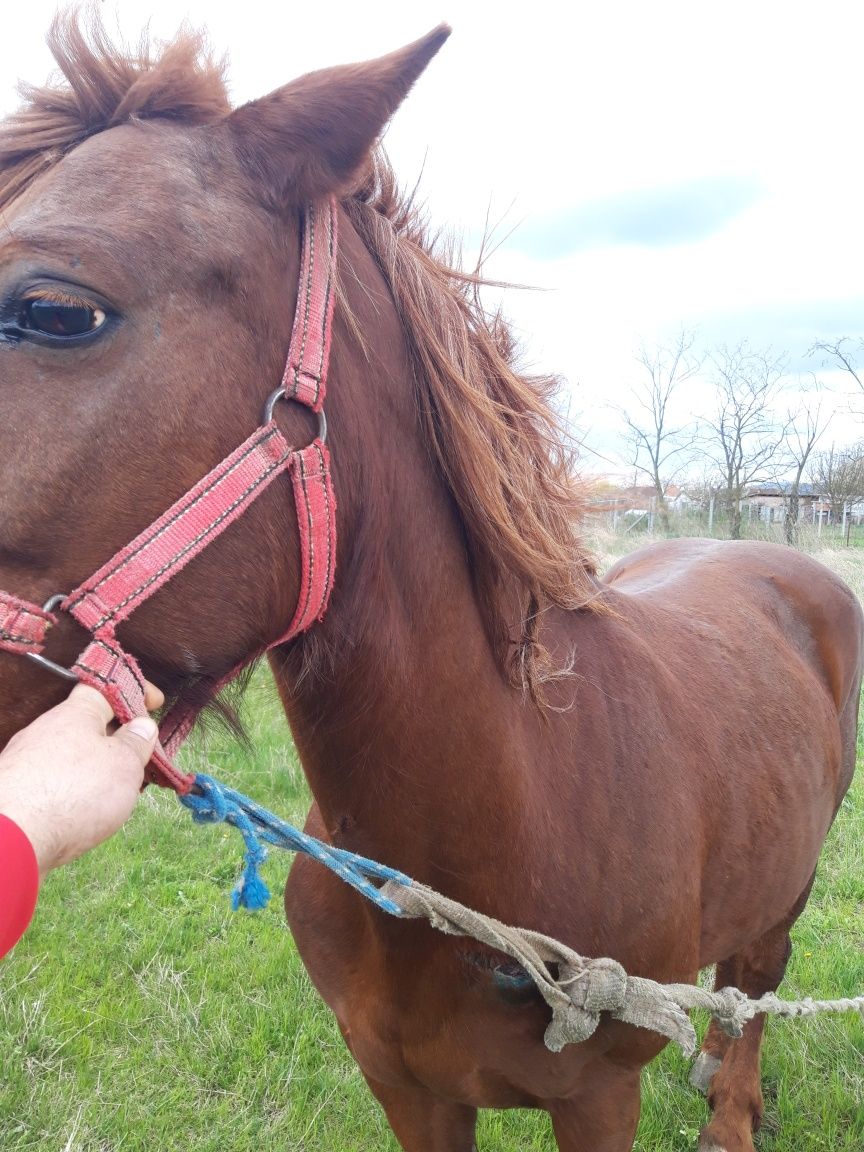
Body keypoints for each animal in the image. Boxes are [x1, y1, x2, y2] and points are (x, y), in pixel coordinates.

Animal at [0, 13, 861, 1147]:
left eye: (56, 310)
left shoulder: (598, 1099)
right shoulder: (405, 1086)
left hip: (791, 888)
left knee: (759, 982)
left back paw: (731, 1105)